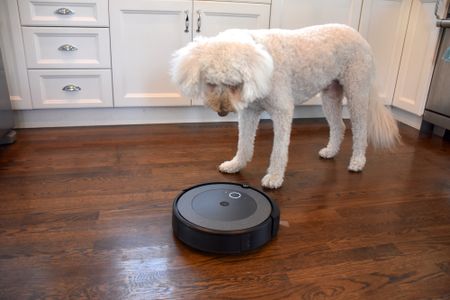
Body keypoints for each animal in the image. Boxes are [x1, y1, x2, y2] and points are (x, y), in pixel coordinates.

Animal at [170, 24, 400, 188]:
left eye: (234, 85)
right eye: (210, 83)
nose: (222, 111)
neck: (260, 64)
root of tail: (360, 36)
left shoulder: (282, 111)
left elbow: (279, 150)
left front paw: (274, 177)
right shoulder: (249, 113)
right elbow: (244, 144)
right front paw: (235, 165)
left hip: (357, 92)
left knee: (360, 130)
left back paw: (358, 162)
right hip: (330, 96)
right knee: (339, 126)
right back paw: (330, 152)